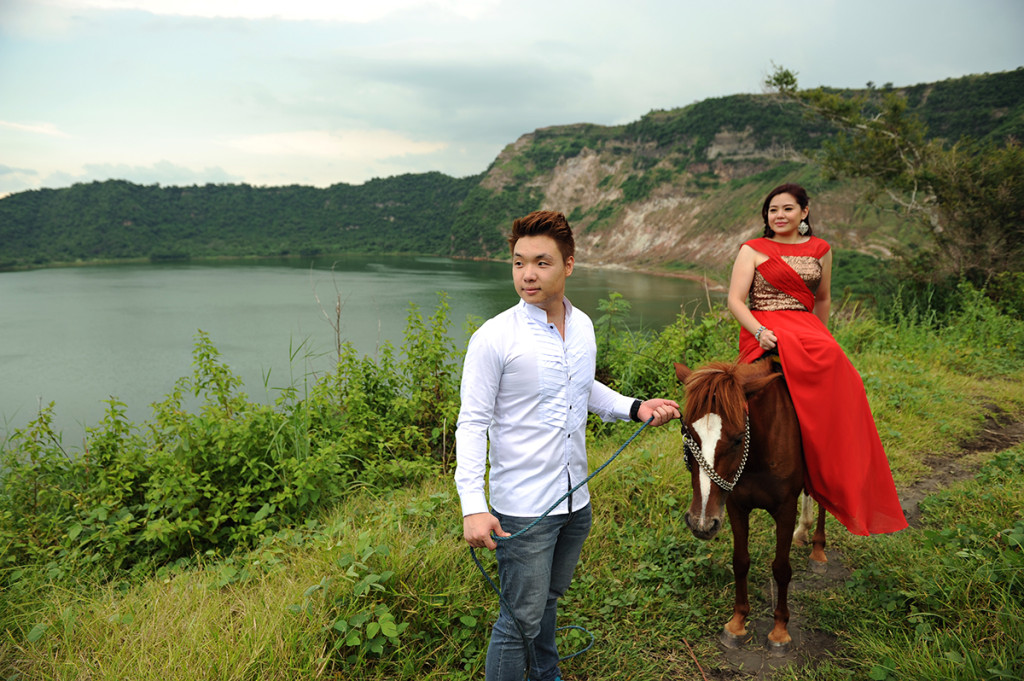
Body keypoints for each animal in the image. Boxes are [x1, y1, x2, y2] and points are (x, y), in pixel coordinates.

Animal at [675, 358, 827, 651]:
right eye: (687, 435)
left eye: (737, 439)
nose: (700, 523)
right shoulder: (735, 507)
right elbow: (740, 561)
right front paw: (737, 623)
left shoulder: (785, 509)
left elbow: (781, 568)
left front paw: (779, 630)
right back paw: (804, 531)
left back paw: (818, 549)